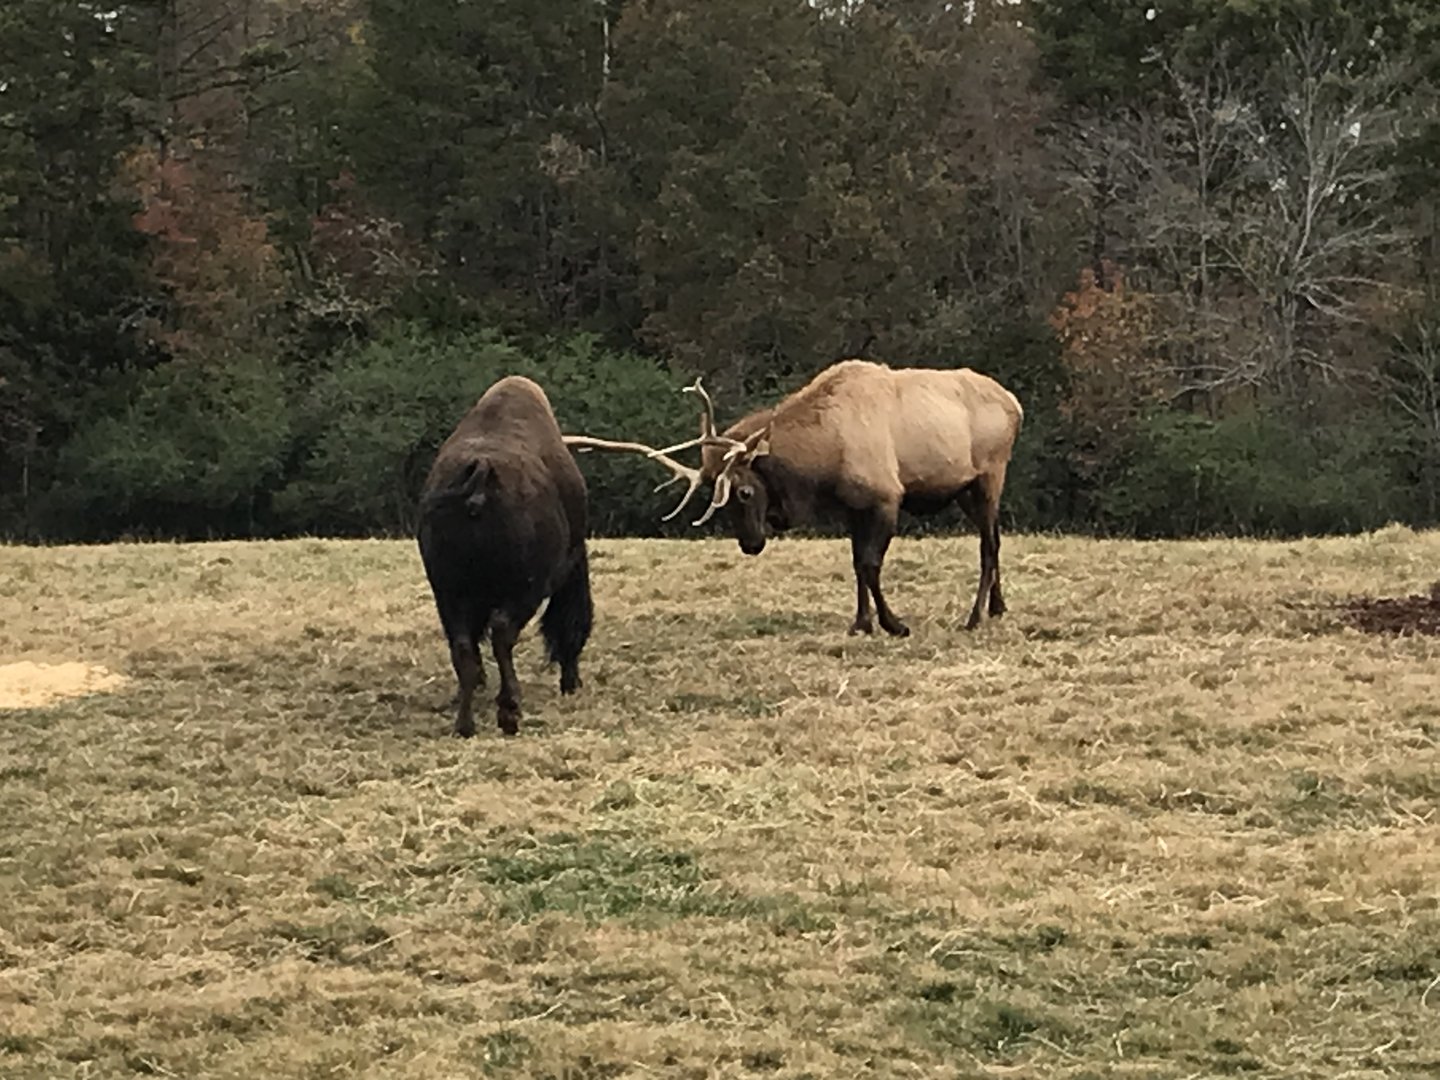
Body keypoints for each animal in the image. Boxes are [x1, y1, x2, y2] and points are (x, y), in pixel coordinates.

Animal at [418, 376, 592, 737]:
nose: (573, 685)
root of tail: (481, 474)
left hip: (449, 592)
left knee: (464, 648)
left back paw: (466, 723)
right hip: (524, 591)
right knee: (501, 634)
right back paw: (509, 711)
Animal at [563, 359, 1023, 636]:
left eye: (745, 490)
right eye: (718, 500)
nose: (750, 544)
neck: (825, 455)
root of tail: (1016, 405)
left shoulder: (885, 497)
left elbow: (870, 565)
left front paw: (894, 624)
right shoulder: (852, 508)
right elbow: (857, 565)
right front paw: (861, 623)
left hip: (989, 475)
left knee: (987, 546)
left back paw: (974, 617)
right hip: (966, 490)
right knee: (996, 541)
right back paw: (998, 607)